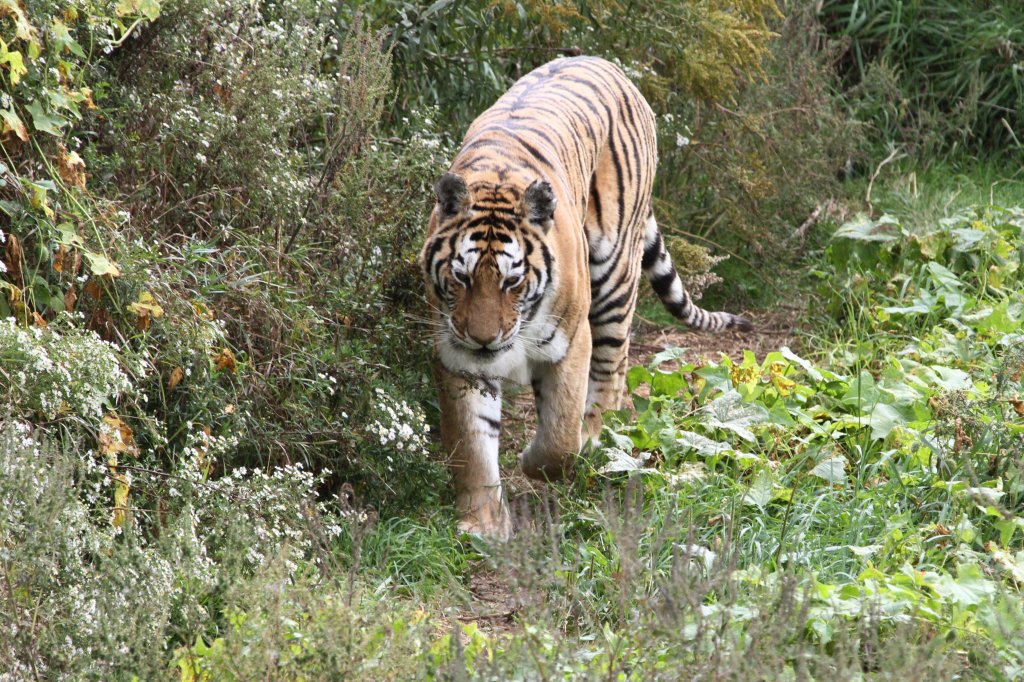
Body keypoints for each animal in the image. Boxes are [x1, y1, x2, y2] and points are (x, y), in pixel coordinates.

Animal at [417, 55, 753, 540]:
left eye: (512, 282)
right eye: (460, 278)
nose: (483, 339)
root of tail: (607, 65)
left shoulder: (569, 343)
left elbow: (559, 437)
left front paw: (538, 461)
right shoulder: (456, 353)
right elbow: (471, 442)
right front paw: (481, 523)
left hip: (614, 275)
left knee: (613, 371)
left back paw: (595, 440)